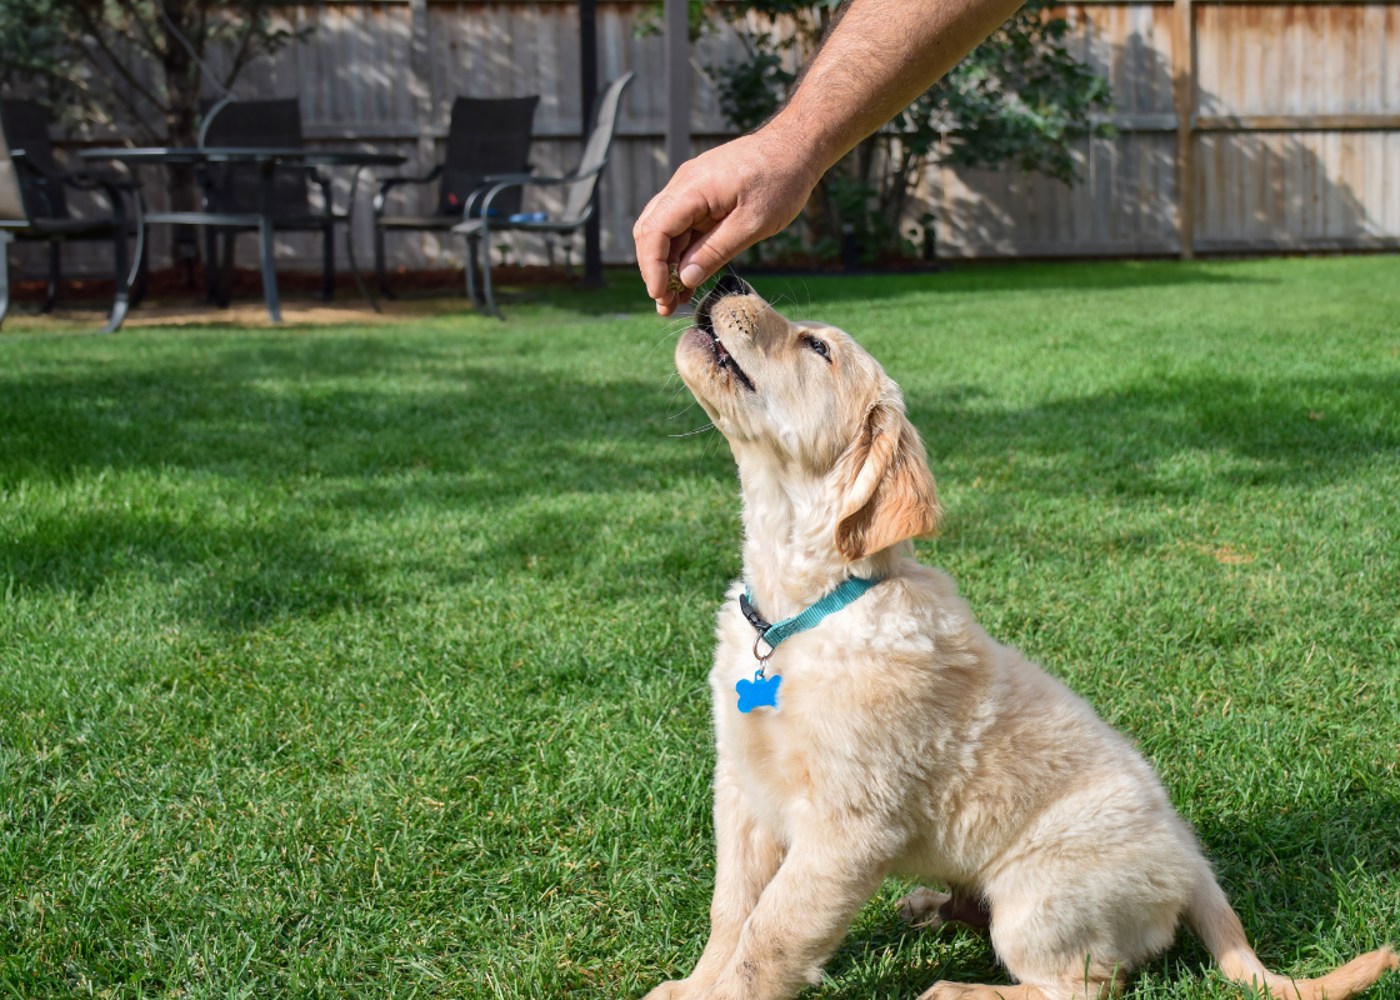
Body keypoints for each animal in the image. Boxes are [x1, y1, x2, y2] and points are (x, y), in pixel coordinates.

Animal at [646, 275, 1400, 997]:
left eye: (817, 347)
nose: (726, 281)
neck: (802, 609)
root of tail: (1195, 867)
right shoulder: (741, 789)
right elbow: (732, 910)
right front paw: (695, 984)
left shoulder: (849, 825)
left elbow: (771, 935)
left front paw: (721, 993)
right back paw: (930, 906)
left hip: (1037, 898)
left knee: (1082, 985)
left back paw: (958, 990)